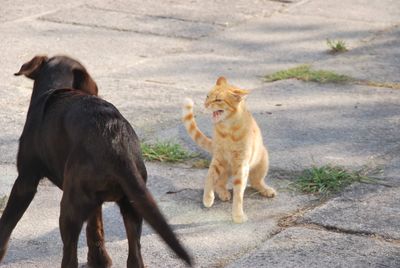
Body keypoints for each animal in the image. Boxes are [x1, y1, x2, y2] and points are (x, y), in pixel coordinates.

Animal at [0, 55, 192, 266]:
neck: (54, 88)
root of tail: (116, 142)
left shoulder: (25, 181)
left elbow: (6, 224)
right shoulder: (95, 203)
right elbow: (95, 227)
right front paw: (99, 259)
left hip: (70, 208)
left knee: (70, 257)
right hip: (132, 205)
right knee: (134, 257)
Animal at [183, 76, 276, 223]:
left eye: (218, 100)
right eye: (207, 96)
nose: (206, 104)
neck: (227, 130)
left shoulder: (241, 165)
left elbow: (239, 192)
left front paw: (237, 215)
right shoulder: (218, 159)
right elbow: (210, 177)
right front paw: (207, 198)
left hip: (263, 161)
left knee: (256, 182)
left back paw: (266, 190)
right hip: (225, 166)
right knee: (219, 183)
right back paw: (222, 193)